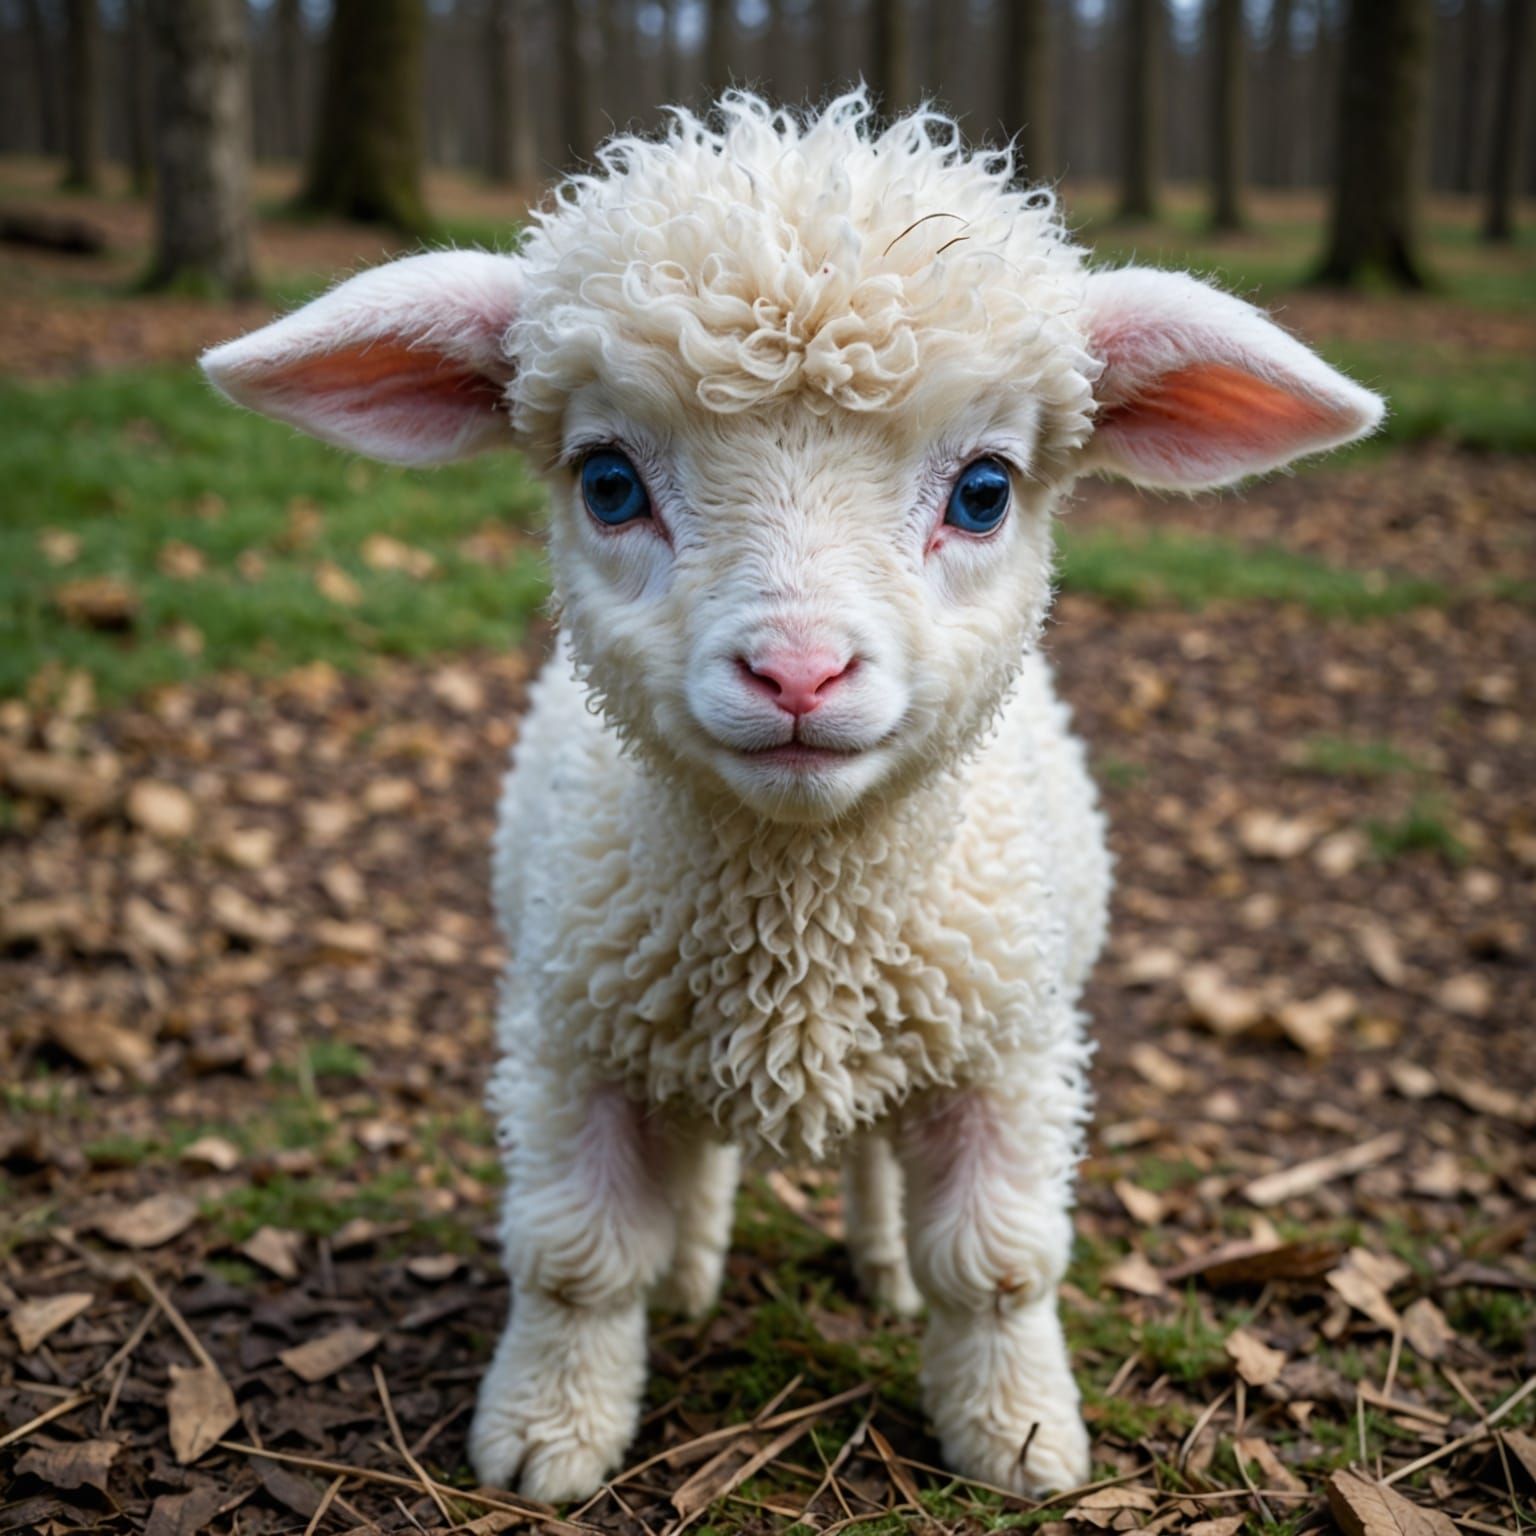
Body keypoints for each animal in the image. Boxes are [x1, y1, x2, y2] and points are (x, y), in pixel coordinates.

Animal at [201, 92, 1383, 1504]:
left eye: (986, 489)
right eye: (608, 481)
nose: (799, 672)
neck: (802, 922)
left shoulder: (1008, 1053)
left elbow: (997, 1266)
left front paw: (1018, 1437)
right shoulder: (574, 1040)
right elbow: (576, 1260)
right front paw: (548, 1433)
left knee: (873, 1160)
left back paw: (877, 1268)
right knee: (701, 1157)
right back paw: (696, 1269)